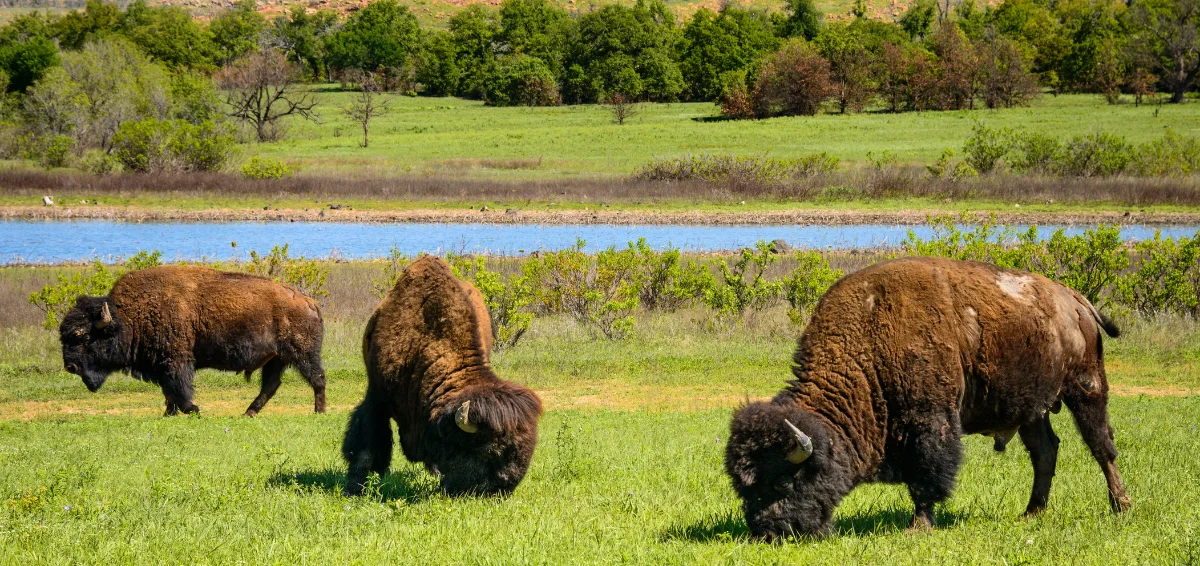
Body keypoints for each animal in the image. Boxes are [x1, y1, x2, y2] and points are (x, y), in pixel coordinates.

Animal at [58, 265, 326, 414]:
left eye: (82, 337)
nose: (70, 366)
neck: (128, 316)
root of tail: (308, 302)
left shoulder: (175, 360)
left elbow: (178, 388)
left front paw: (193, 410)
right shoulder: (162, 364)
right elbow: (169, 391)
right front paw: (170, 413)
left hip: (302, 354)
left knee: (317, 378)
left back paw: (319, 411)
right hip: (276, 359)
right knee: (270, 385)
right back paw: (248, 413)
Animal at [724, 256, 1128, 539]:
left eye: (782, 482)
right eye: (743, 487)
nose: (767, 533)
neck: (870, 340)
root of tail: (1074, 299)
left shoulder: (929, 422)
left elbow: (926, 476)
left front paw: (918, 526)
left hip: (1086, 386)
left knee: (1101, 445)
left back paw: (1120, 506)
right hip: (1032, 408)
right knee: (1045, 451)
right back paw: (1032, 512)